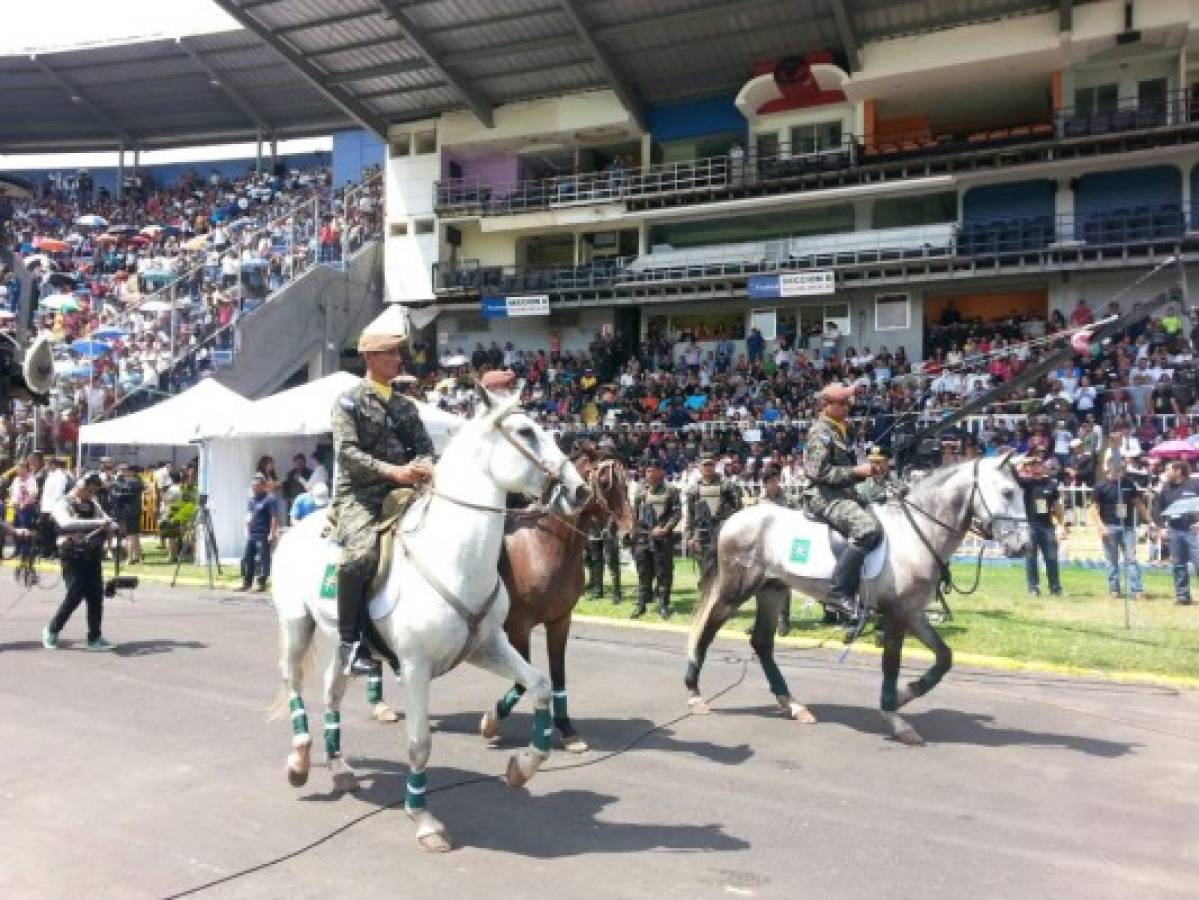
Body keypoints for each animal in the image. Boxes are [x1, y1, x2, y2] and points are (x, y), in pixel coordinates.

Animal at [273, 385, 589, 853]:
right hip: (297, 624)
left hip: (346, 646)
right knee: (292, 681)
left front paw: (523, 766)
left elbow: (540, 685)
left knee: (331, 690)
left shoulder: (488, 645)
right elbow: (419, 743)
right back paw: (299, 759)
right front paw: (424, 820)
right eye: (525, 431)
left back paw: (341, 769)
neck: (454, 555)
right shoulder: (415, 667)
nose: (579, 490)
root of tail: (292, 528)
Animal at [369, 445, 637, 752]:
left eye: (627, 482)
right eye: (605, 482)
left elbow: (558, 676)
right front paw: (492, 721)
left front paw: (568, 730)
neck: (543, 548)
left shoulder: (560, 622)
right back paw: (379, 703)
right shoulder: (518, 627)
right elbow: (522, 682)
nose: (629, 534)